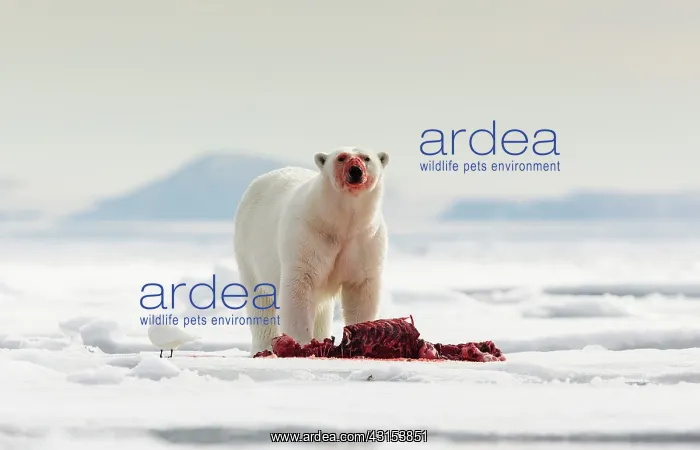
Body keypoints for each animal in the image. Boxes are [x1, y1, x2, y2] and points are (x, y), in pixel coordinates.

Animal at [233, 147, 390, 355]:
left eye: (367, 158)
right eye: (341, 158)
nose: (355, 171)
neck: (340, 224)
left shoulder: (365, 241)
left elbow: (361, 288)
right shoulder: (309, 236)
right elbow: (300, 286)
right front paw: (302, 344)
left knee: (322, 309)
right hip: (249, 251)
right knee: (260, 299)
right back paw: (264, 347)